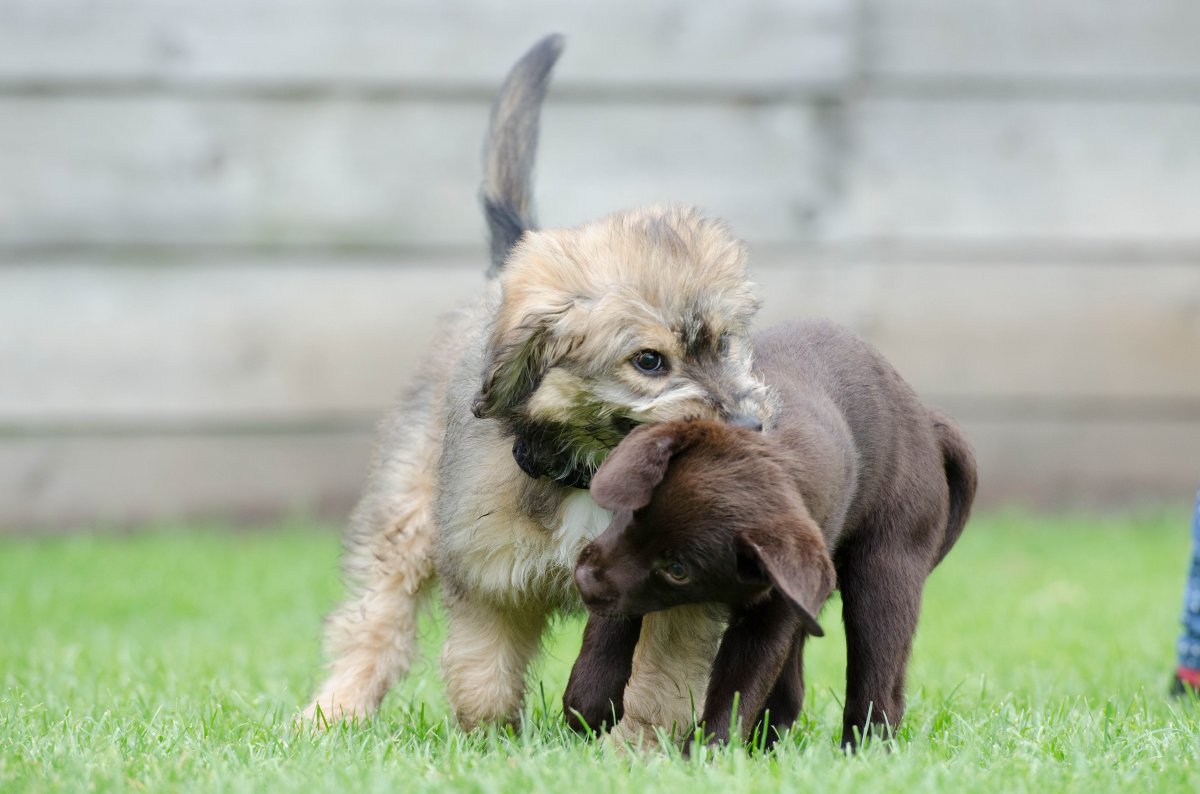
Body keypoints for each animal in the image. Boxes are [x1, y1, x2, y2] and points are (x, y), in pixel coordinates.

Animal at [302, 32, 768, 738]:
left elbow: (660, 684)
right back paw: (334, 711)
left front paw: (636, 748)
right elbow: (481, 674)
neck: (593, 472)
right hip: (407, 514)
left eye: (722, 343)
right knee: (373, 620)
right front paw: (494, 743)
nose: (748, 428)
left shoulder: (678, 592)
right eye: (648, 361)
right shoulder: (489, 578)